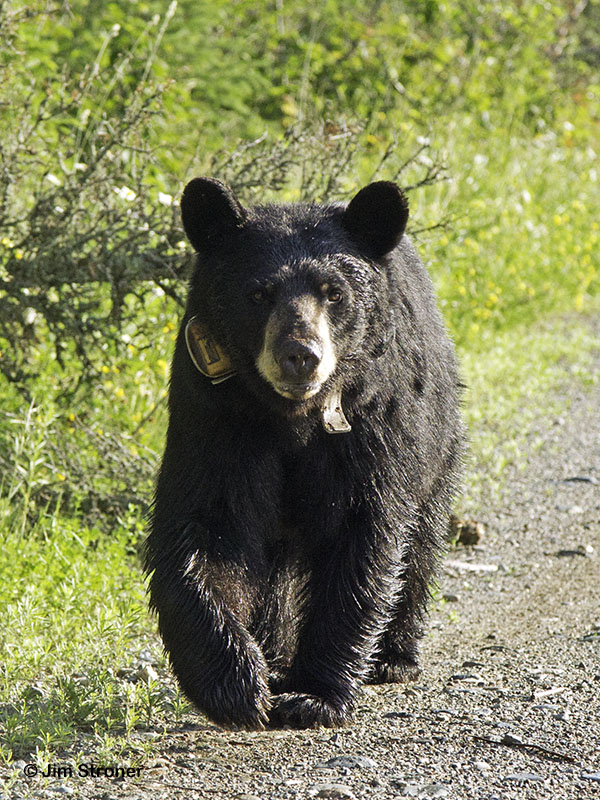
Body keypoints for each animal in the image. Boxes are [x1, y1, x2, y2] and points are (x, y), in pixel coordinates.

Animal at [146, 180, 464, 732]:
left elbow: (361, 535)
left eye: (333, 292)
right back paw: (273, 655)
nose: (301, 355)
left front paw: (313, 695)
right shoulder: (218, 416)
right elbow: (208, 528)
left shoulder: (371, 422)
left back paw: (394, 656)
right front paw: (236, 684)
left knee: (422, 540)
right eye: (258, 293)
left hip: (439, 442)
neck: (291, 419)